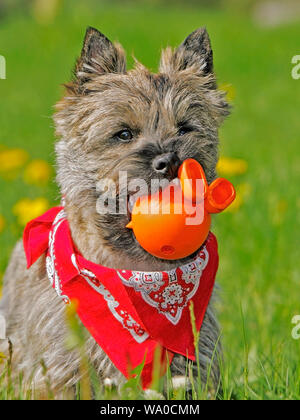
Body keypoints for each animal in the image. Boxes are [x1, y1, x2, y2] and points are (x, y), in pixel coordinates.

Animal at [0, 27, 230, 400]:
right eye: (123, 133)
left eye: (185, 128)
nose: (169, 161)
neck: (140, 272)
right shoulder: (61, 368)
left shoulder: (198, 360)